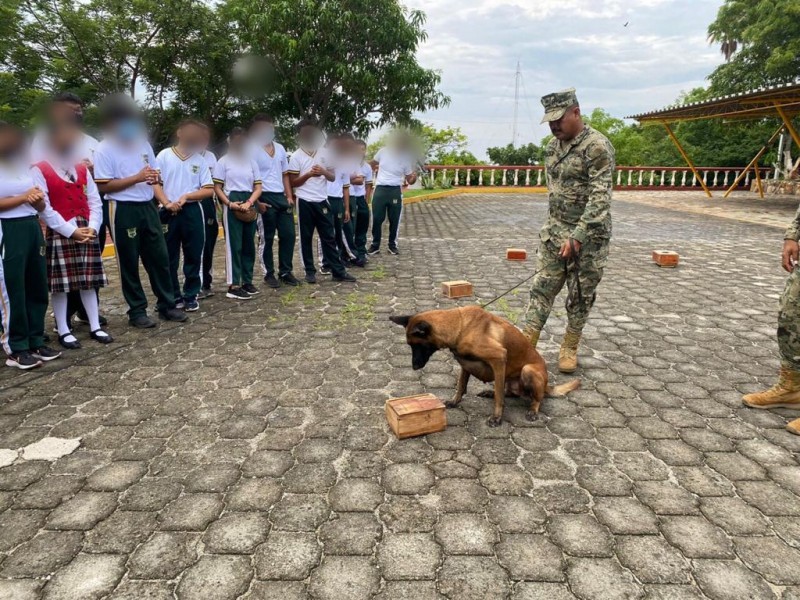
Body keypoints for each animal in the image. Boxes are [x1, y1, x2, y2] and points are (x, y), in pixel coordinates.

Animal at [390, 308, 580, 424]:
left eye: (417, 345)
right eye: (410, 345)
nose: (414, 367)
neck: (460, 326)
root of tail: (547, 385)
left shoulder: (499, 358)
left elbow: (499, 398)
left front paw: (497, 417)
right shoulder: (465, 365)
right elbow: (461, 386)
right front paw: (455, 401)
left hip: (528, 370)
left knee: (536, 397)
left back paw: (533, 410)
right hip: (510, 379)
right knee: (510, 392)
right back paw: (490, 392)